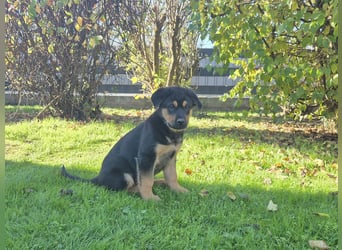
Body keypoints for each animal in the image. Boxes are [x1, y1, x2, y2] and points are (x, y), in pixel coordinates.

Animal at [60, 87, 202, 200]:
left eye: (187, 107)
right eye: (171, 106)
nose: (181, 122)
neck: (167, 130)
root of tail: (98, 178)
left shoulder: (171, 157)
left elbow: (172, 176)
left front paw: (178, 190)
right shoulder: (146, 157)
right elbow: (147, 180)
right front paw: (149, 198)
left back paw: (161, 182)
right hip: (124, 175)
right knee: (124, 189)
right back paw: (141, 190)